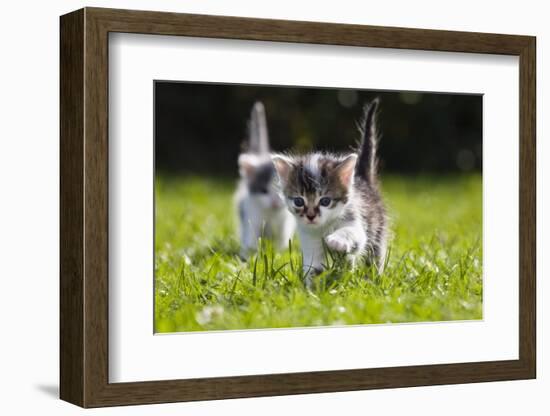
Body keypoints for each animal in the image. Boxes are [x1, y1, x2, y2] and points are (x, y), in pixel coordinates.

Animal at [236, 101, 298, 256]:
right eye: (264, 191)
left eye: (281, 193)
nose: (275, 203)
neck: (271, 214)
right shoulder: (252, 216)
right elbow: (251, 238)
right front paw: (249, 255)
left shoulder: (285, 222)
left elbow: (282, 239)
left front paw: (280, 254)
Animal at [272, 99, 388, 278]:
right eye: (299, 201)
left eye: (325, 201)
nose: (311, 216)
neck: (323, 227)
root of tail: (363, 179)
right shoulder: (309, 240)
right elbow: (314, 266)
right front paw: (312, 284)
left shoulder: (356, 221)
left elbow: (352, 233)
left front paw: (337, 240)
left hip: (377, 229)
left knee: (374, 255)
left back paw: (373, 277)